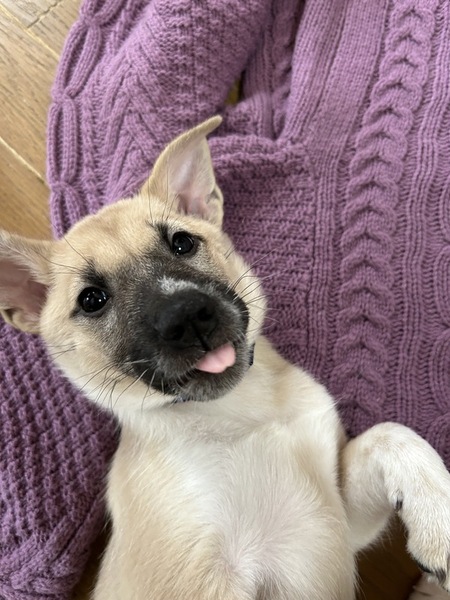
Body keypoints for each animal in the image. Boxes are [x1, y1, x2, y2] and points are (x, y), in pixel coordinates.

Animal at [1, 116, 450, 599]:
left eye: (182, 243)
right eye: (91, 300)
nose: (187, 317)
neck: (236, 413)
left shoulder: (342, 519)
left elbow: (392, 434)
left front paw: (438, 521)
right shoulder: (201, 579)